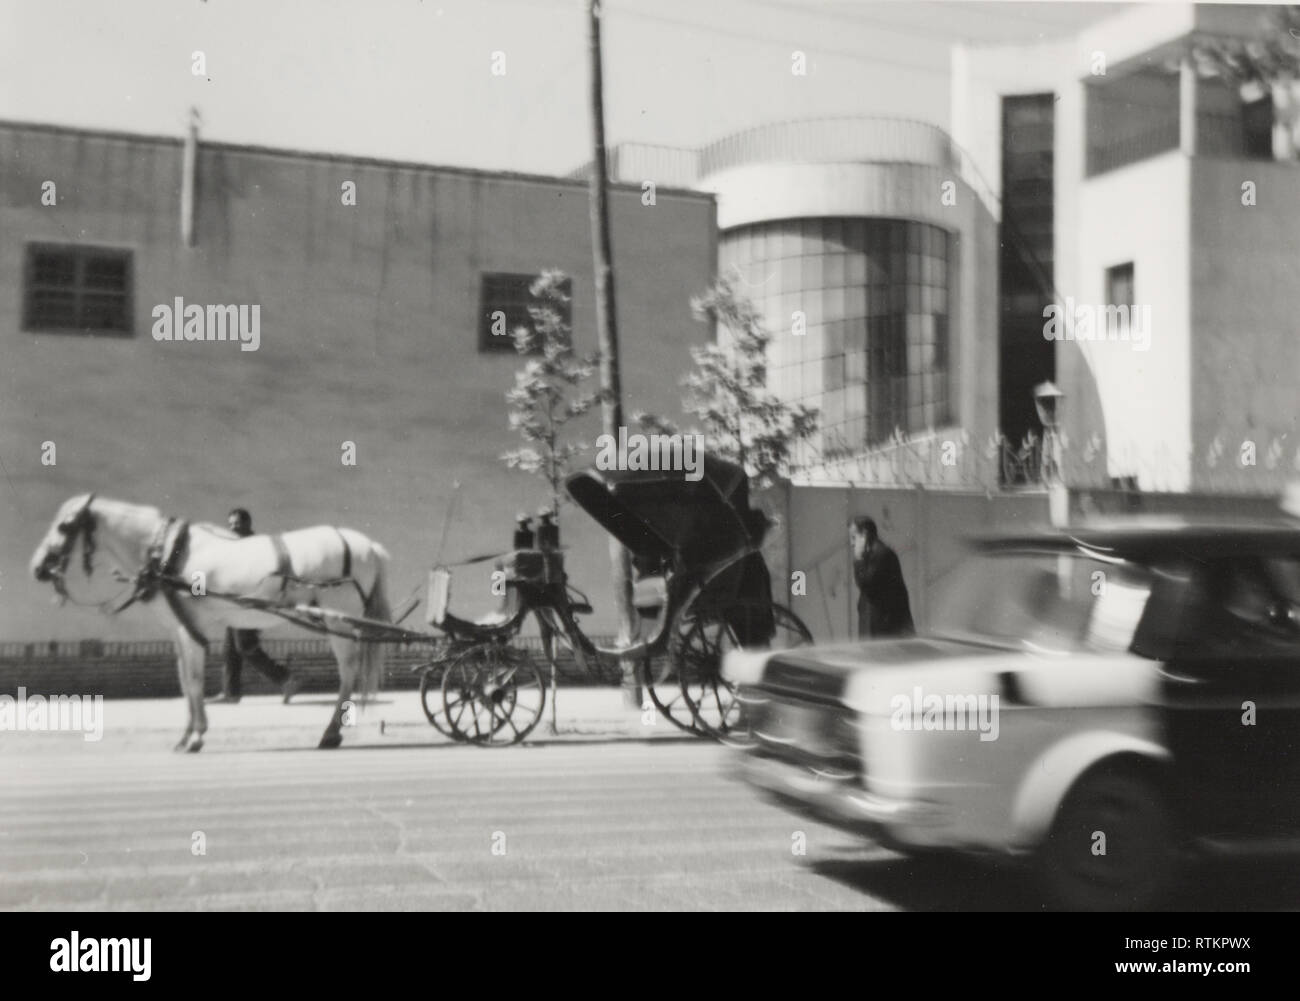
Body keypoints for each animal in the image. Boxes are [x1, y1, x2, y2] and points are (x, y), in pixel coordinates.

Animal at [30, 491, 390, 748]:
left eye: (64, 526)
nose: (38, 568)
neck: (167, 555)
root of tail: (366, 545)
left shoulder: (190, 630)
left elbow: (193, 681)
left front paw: (196, 735)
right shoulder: (180, 629)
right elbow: (185, 681)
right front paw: (187, 734)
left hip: (340, 620)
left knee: (348, 672)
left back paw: (330, 732)